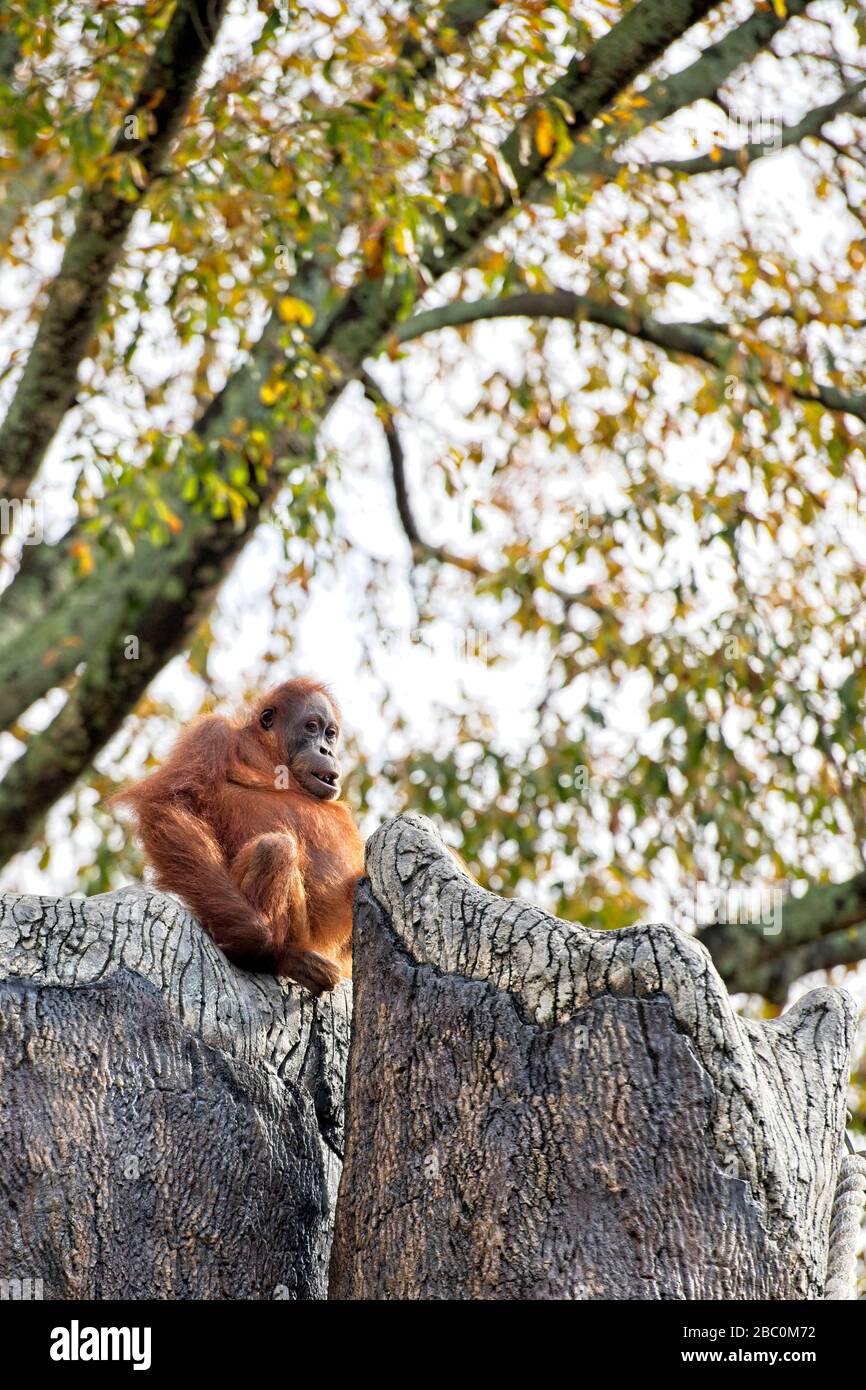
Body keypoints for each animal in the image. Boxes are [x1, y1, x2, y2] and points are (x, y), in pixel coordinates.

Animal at [111, 678, 363, 995]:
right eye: (311, 727)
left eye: (330, 734)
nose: (327, 750)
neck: (271, 757)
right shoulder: (210, 735)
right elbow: (170, 803)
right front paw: (254, 937)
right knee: (275, 848)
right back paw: (281, 959)